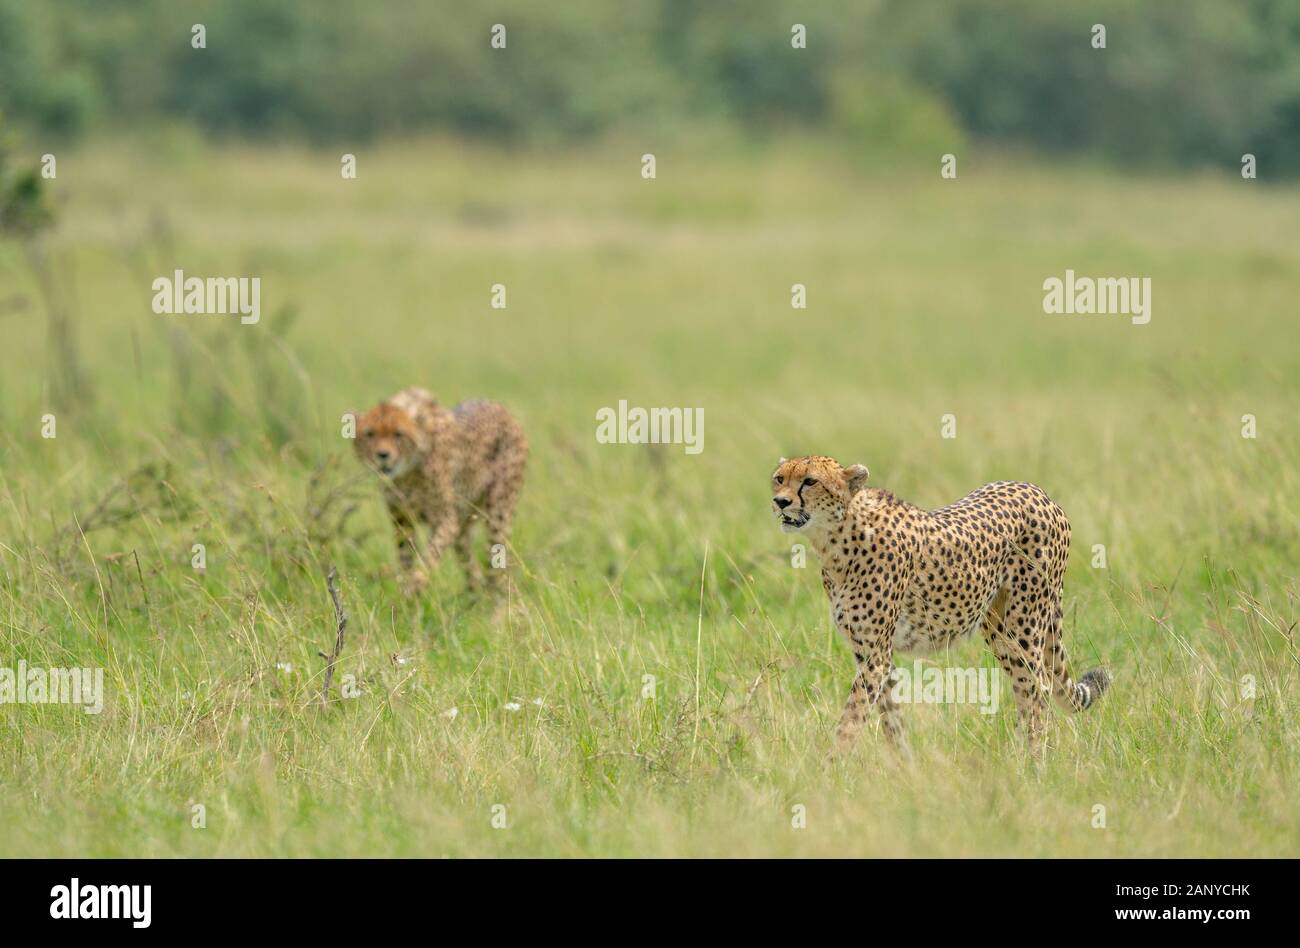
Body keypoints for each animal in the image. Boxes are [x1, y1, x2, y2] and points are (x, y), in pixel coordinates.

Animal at [353, 387, 525, 595]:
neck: (406, 474)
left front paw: (415, 585)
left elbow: (430, 554)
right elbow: (405, 557)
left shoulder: (446, 519)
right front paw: (406, 592)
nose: (382, 455)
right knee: (471, 565)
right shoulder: (401, 520)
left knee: (498, 568)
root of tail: (500, 408)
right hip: (464, 525)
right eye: (370, 434)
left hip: (498, 516)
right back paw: (475, 595)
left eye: (398, 434)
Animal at [764, 455, 1112, 749]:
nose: (780, 502)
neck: (836, 539)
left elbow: (850, 721)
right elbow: (890, 718)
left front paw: (831, 769)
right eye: (779, 478)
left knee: (1037, 690)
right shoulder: (870, 653)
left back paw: (1030, 765)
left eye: (809, 481)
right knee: (1028, 691)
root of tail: (1039, 492)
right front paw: (904, 769)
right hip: (999, 628)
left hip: (1025, 627)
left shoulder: (875, 654)